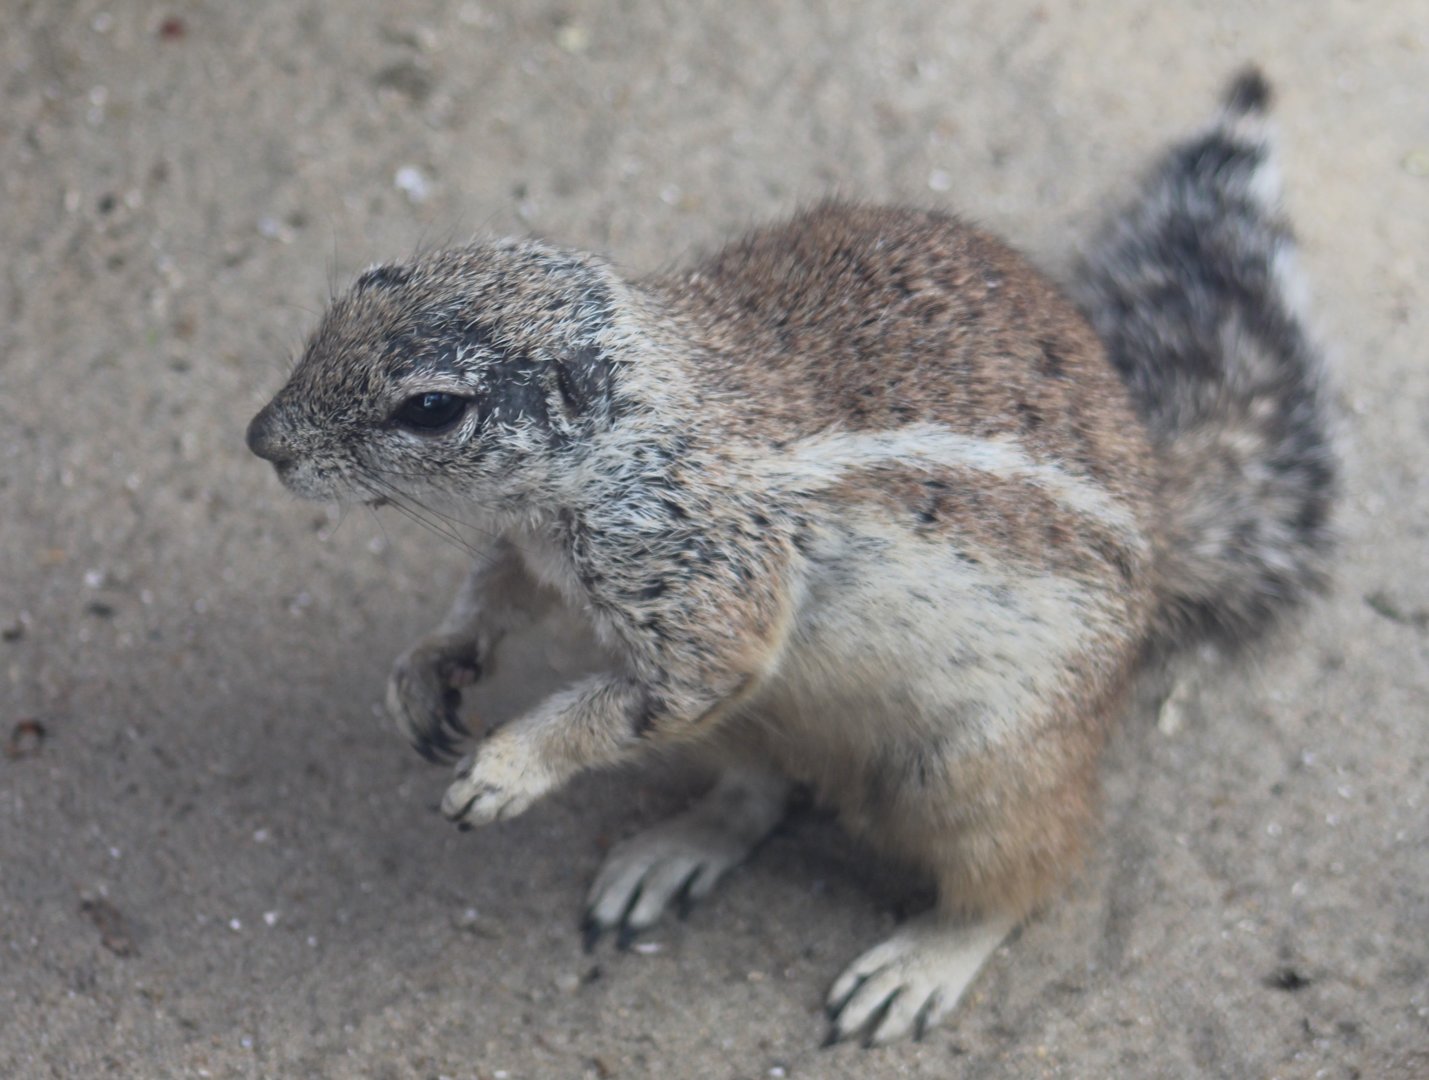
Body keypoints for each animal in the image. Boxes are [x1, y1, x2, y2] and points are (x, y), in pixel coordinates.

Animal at [247, 69, 1335, 1046]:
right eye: (358, 288)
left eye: (431, 407)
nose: (263, 440)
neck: (635, 436)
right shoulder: (535, 553)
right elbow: (493, 595)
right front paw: (427, 669)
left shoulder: (710, 595)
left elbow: (642, 692)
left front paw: (506, 766)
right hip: (758, 730)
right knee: (757, 794)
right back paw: (674, 851)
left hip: (982, 772)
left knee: (1024, 877)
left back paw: (916, 967)